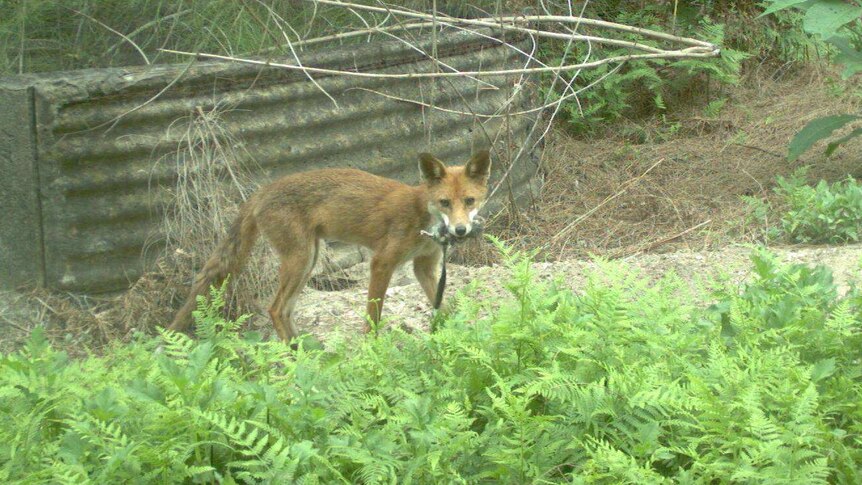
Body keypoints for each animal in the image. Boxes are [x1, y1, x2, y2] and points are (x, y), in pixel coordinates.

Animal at [169, 148, 492, 340]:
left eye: (469, 201)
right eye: (445, 202)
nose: (460, 230)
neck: (423, 217)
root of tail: (263, 190)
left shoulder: (424, 266)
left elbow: (443, 307)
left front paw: (452, 337)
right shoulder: (382, 262)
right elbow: (373, 316)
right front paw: (373, 349)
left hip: (307, 262)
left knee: (285, 310)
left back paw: (303, 350)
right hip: (300, 260)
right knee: (274, 309)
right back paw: (292, 356)